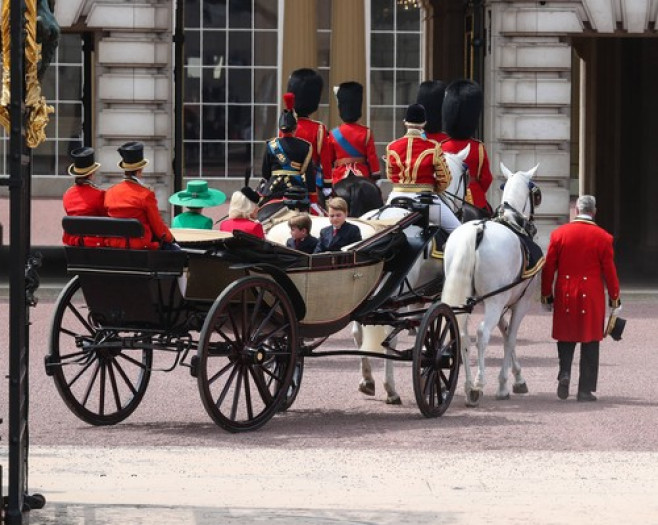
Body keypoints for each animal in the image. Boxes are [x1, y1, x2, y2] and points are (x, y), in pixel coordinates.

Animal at [438, 162, 540, 408]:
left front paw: (517, 376)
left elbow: (504, 332)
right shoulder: (519, 303)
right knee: (482, 334)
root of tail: (478, 230)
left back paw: (468, 386)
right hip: (495, 302)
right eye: (536, 194)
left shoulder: (500, 302)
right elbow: (510, 338)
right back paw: (477, 385)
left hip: (469, 302)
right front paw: (504, 384)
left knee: (462, 335)